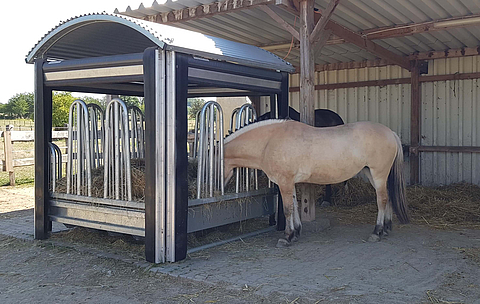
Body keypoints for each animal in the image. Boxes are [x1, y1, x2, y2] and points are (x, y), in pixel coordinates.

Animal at [224, 119, 408, 247]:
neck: (270, 141)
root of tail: (391, 133)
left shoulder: (284, 182)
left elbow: (287, 209)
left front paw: (287, 237)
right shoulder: (289, 183)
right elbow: (295, 206)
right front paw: (296, 233)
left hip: (378, 174)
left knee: (382, 200)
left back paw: (377, 232)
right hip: (373, 174)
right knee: (388, 197)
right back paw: (386, 229)